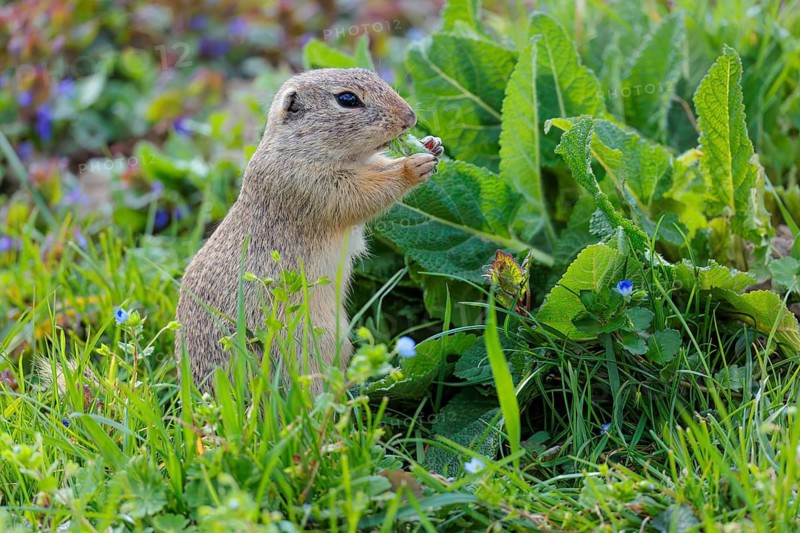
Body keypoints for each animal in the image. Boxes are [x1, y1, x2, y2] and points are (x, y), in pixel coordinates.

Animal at [175, 68, 443, 393]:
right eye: (347, 99)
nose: (410, 117)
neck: (297, 145)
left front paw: (431, 143)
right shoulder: (312, 184)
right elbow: (363, 194)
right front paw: (412, 166)